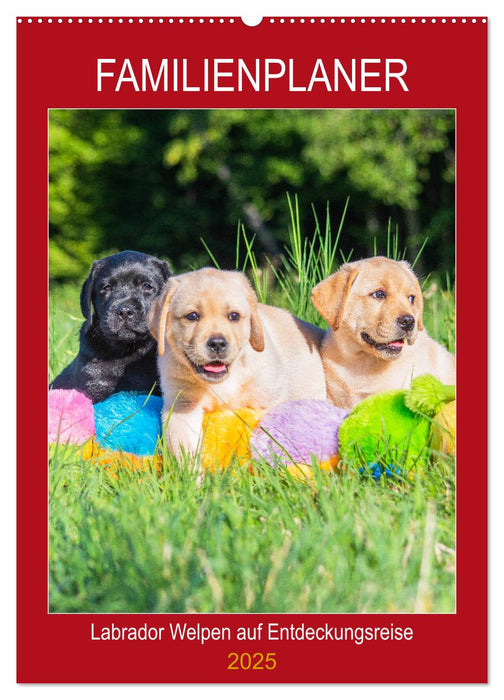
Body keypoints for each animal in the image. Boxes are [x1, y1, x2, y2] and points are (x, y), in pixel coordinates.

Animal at [148, 266, 326, 454]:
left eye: (234, 316)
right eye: (192, 316)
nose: (217, 343)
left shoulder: (268, 399)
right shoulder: (181, 405)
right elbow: (183, 447)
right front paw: (189, 463)